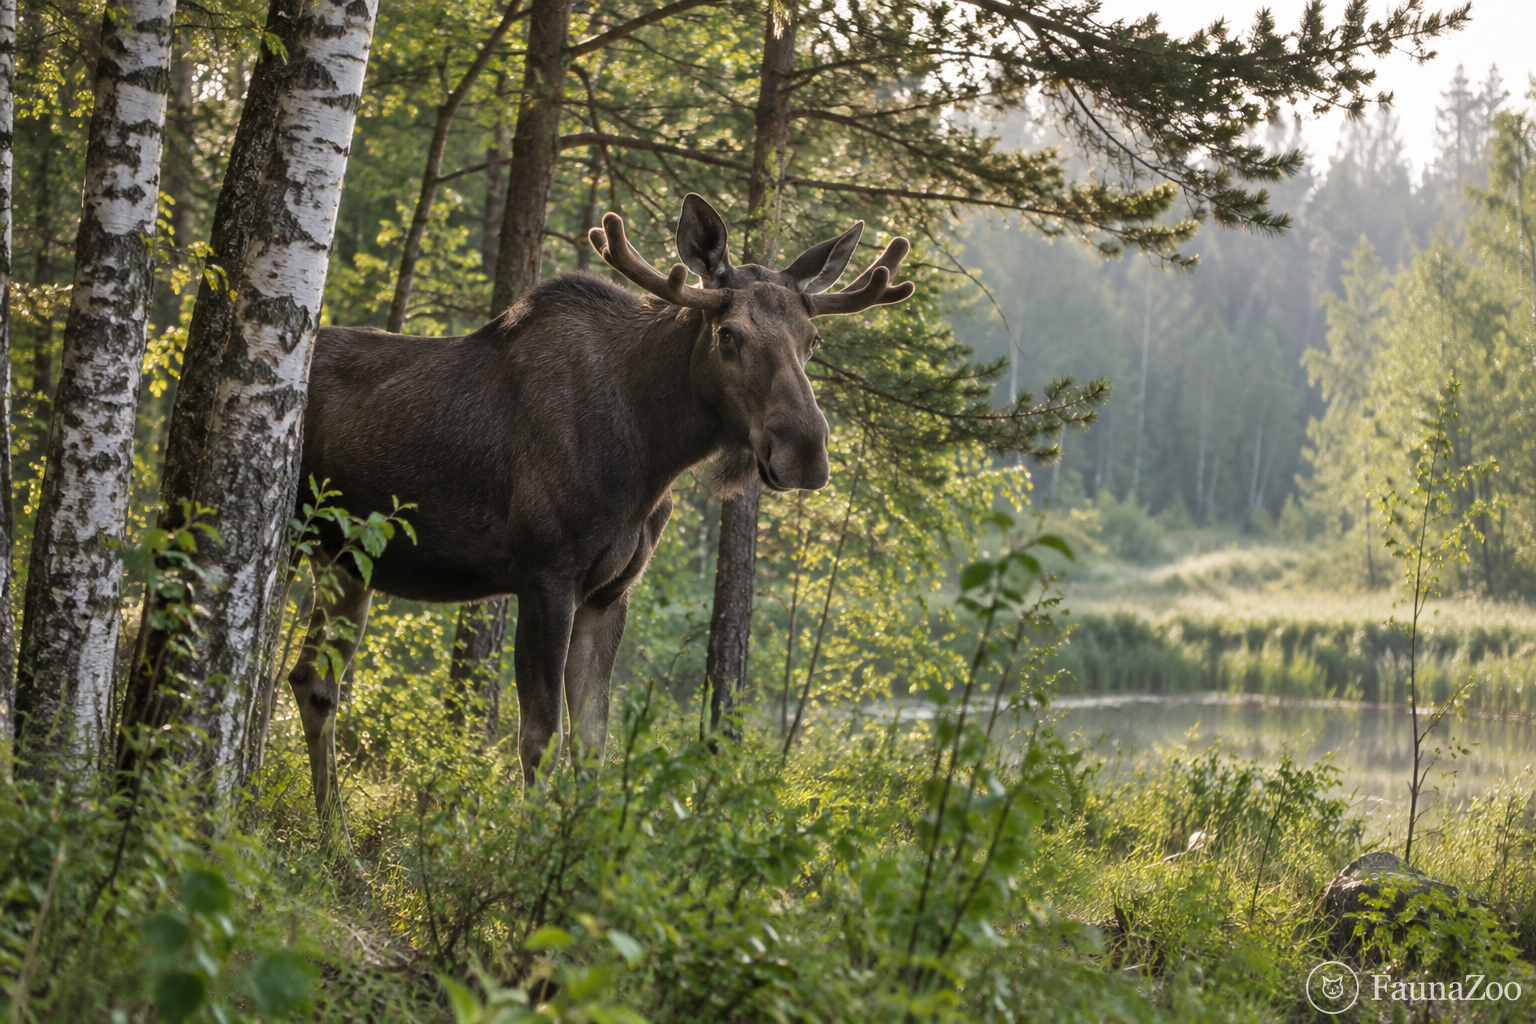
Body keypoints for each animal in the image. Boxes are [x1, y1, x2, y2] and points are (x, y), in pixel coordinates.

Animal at [287, 194, 913, 816]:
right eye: (728, 336)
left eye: (813, 340)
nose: (805, 450)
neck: (650, 454)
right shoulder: (546, 577)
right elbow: (539, 738)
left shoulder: (610, 593)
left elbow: (593, 739)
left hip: (348, 564)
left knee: (313, 682)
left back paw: (333, 834)